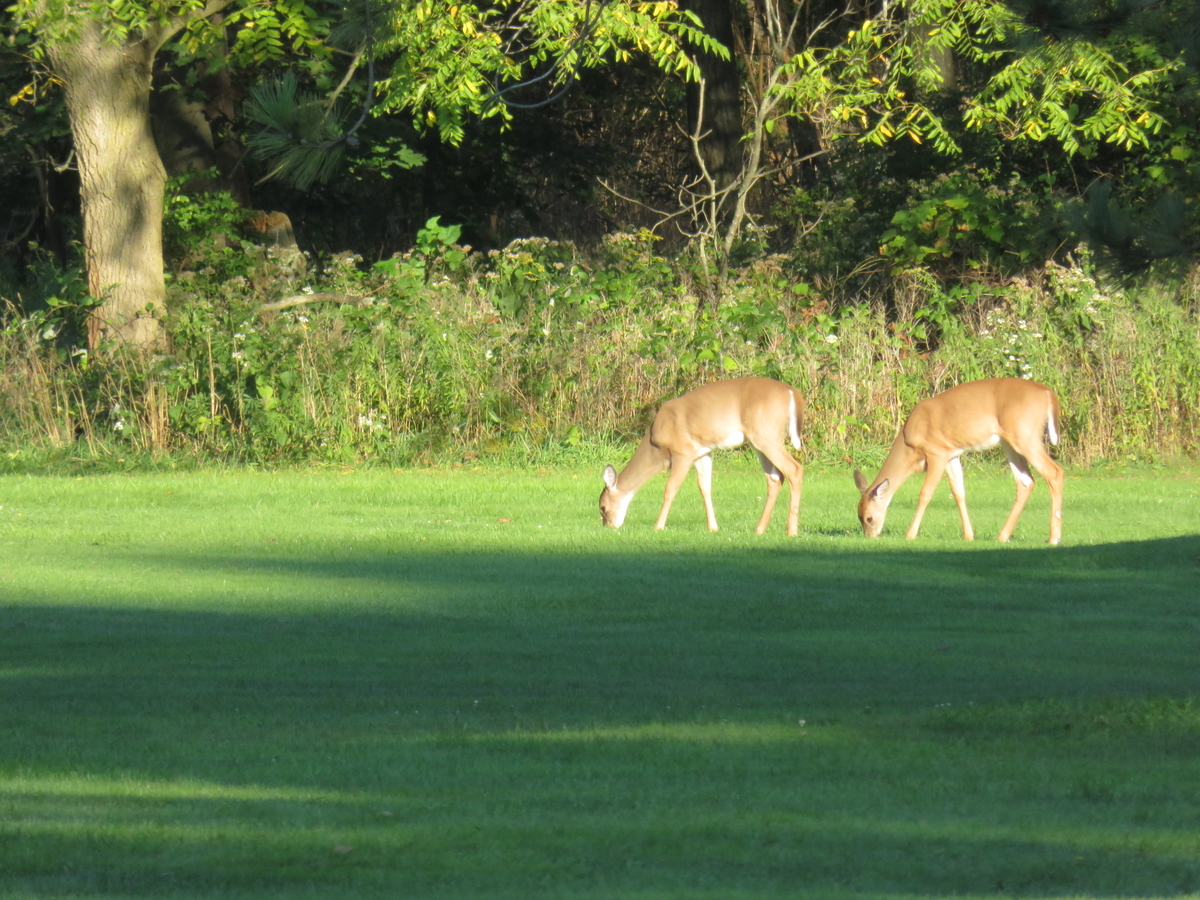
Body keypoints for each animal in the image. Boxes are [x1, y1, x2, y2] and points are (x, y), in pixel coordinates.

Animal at [600, 374, 806, 535]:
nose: (608, 526)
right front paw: (713, 527)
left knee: (794, 469)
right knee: (774, 477)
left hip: (765, 434)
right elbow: (705, 487)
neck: (656, 446)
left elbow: (670, 488)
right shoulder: (702, 452)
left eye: (602, 507)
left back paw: (791, 531)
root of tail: (792, 392)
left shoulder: (682, 451)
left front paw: (658, 526)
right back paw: (760, 529)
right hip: (760, 440)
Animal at [849, 379, 1065, 547]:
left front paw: (910, 534)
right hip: (1010, 442)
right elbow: (958, 492)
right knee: (1025, 481)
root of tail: (1048, 393)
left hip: (1024, 435)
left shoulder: (936, 452)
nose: (870, 536)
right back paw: (1002, 536)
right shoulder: (951, 454)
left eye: (868, 517)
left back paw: (1054, 538)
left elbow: (925, 493)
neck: (909, 446)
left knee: (1054, 472)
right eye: (858, 516)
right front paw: (969, 536)